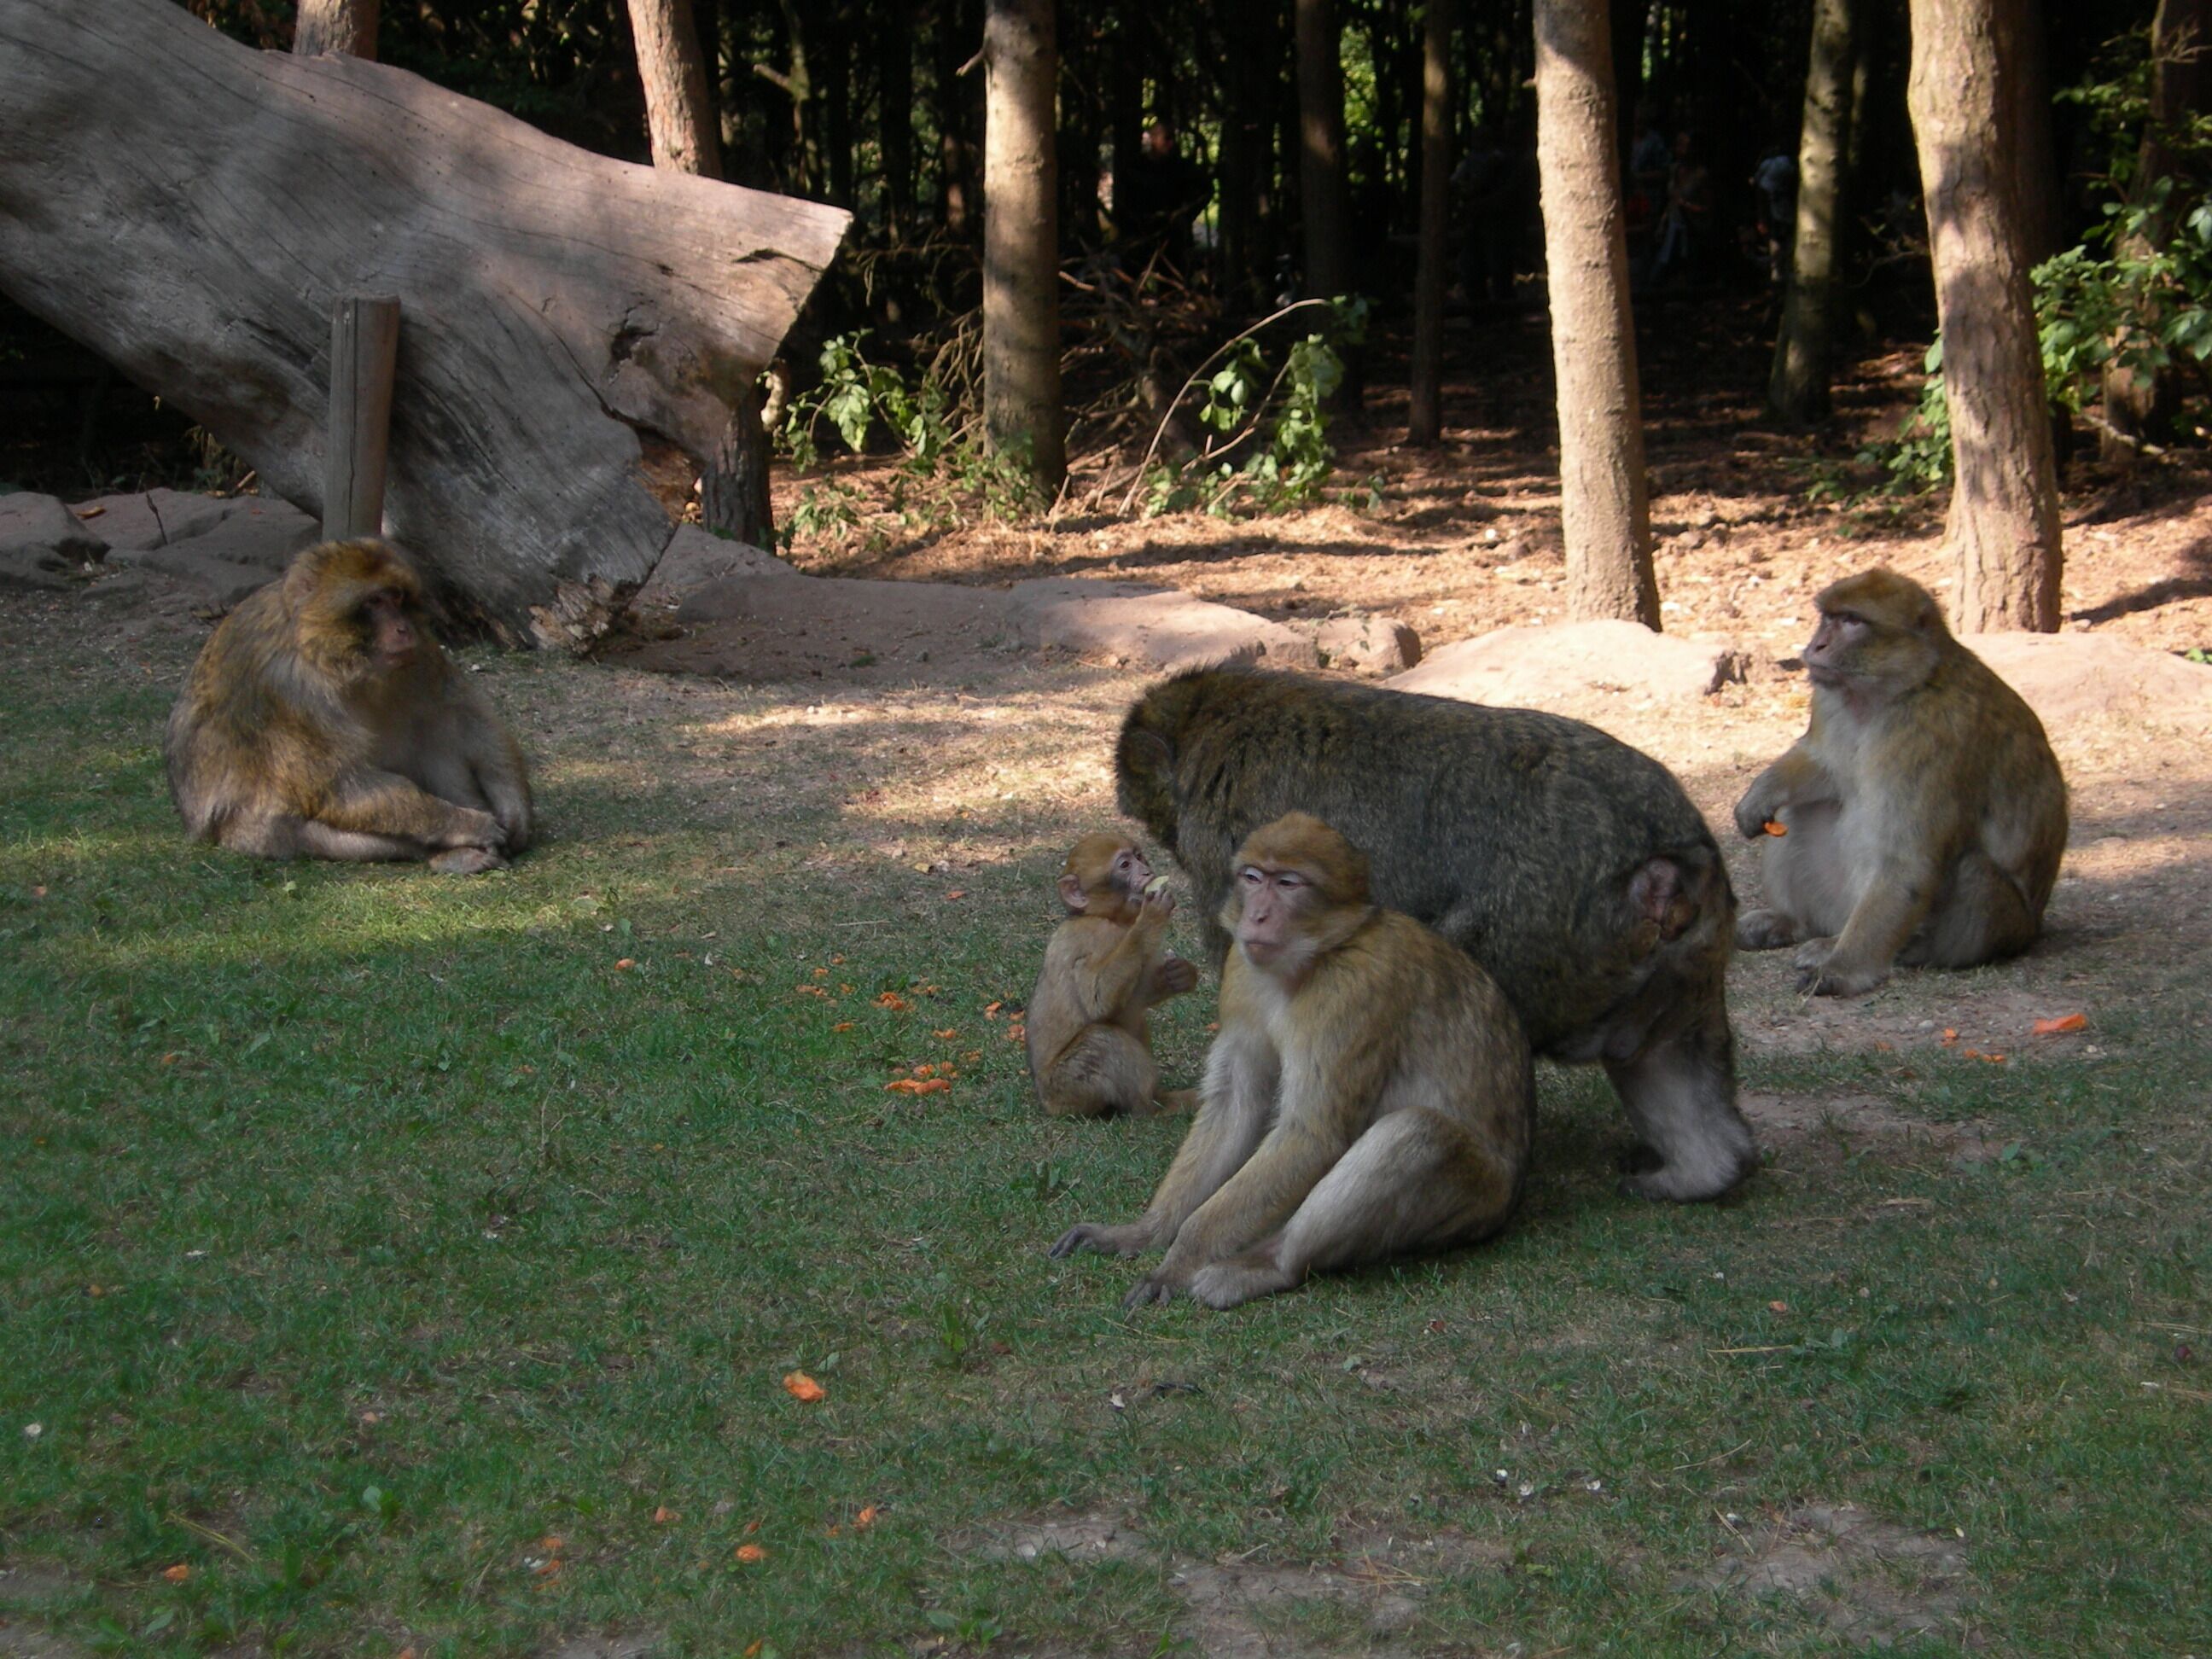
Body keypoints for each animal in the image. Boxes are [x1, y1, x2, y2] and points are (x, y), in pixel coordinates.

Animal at [165, 539, 533, 875]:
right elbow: (340, 785)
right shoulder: (288, 690)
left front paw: (514, 805)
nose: (403, 628)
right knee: (288, 829)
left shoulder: (423, 651)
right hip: (242, 834)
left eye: (397, 597)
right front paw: (465, 825)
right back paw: (448, 851)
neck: (330, 656)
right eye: (373, 602)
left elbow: (460, 717)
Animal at [1025, 833, 1201, 1117]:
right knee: (1102, 1040)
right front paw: (1150, 919)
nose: (1146, 871)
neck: (1107, 917)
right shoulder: (1091, 937)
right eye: (1125, 865)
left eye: (1139, 857)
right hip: (1066, 1088)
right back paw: (1153, 1106)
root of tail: (1046, 1102)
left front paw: (1179, 975)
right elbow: (1099, 1002)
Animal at [1050, 813, 1534, 1310]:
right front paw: (1146, 1232)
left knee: (1416, 1131)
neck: (1317, 957)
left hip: (1477, 1200)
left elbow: (1311, 1136)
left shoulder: (1351, 991)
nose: (1257, 915)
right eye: (1252, 878)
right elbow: (1235, 1106)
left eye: (1287, 883)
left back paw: (1271, 1266)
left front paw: (1178, 1260)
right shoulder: (1241, 972)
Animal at [1115, 667, 1754, 1203]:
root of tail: (1669, 867)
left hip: (1540, 928)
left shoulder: (1226, 852)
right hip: (1685, 963)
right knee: (1667, 1054)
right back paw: (1701, 1171)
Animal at [1732, 568, 2068, 996]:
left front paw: (1840, 971)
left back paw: (1888, 948)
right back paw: (1793, 923)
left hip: (2003, 926)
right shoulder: (1830, 699)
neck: (1898, 689)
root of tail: (2033, 927)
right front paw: (1760, 793)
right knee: (1801, 810)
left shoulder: (1930, 736)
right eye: (1828, 618)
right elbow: (1823, 765)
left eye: (1853, 621)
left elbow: (1907, 861)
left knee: (1975, 873)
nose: (1816, 645)